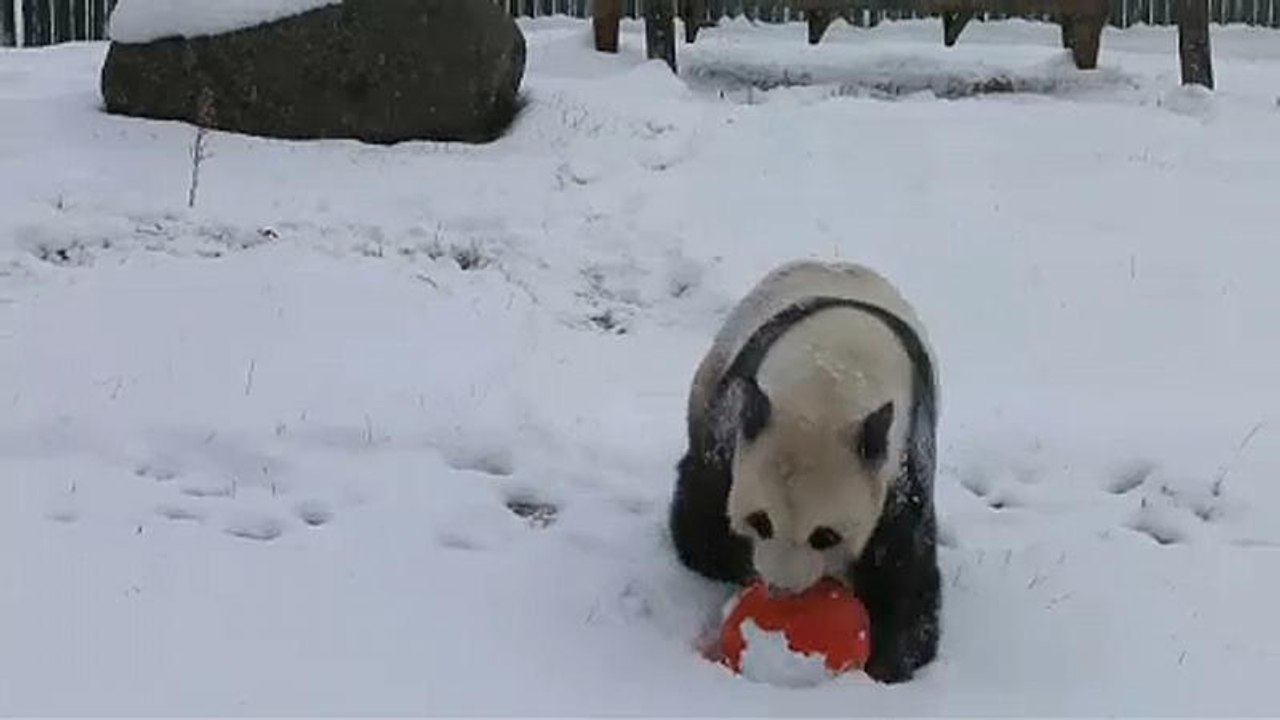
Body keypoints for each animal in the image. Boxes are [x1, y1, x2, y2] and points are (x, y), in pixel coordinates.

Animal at [668, 259, 941, 684]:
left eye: (825, 535)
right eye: (760, 521)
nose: (781, 590)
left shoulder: (901, 459)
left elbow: (904, 571)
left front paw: (887, 663)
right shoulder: (731, 428)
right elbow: (702, 528)